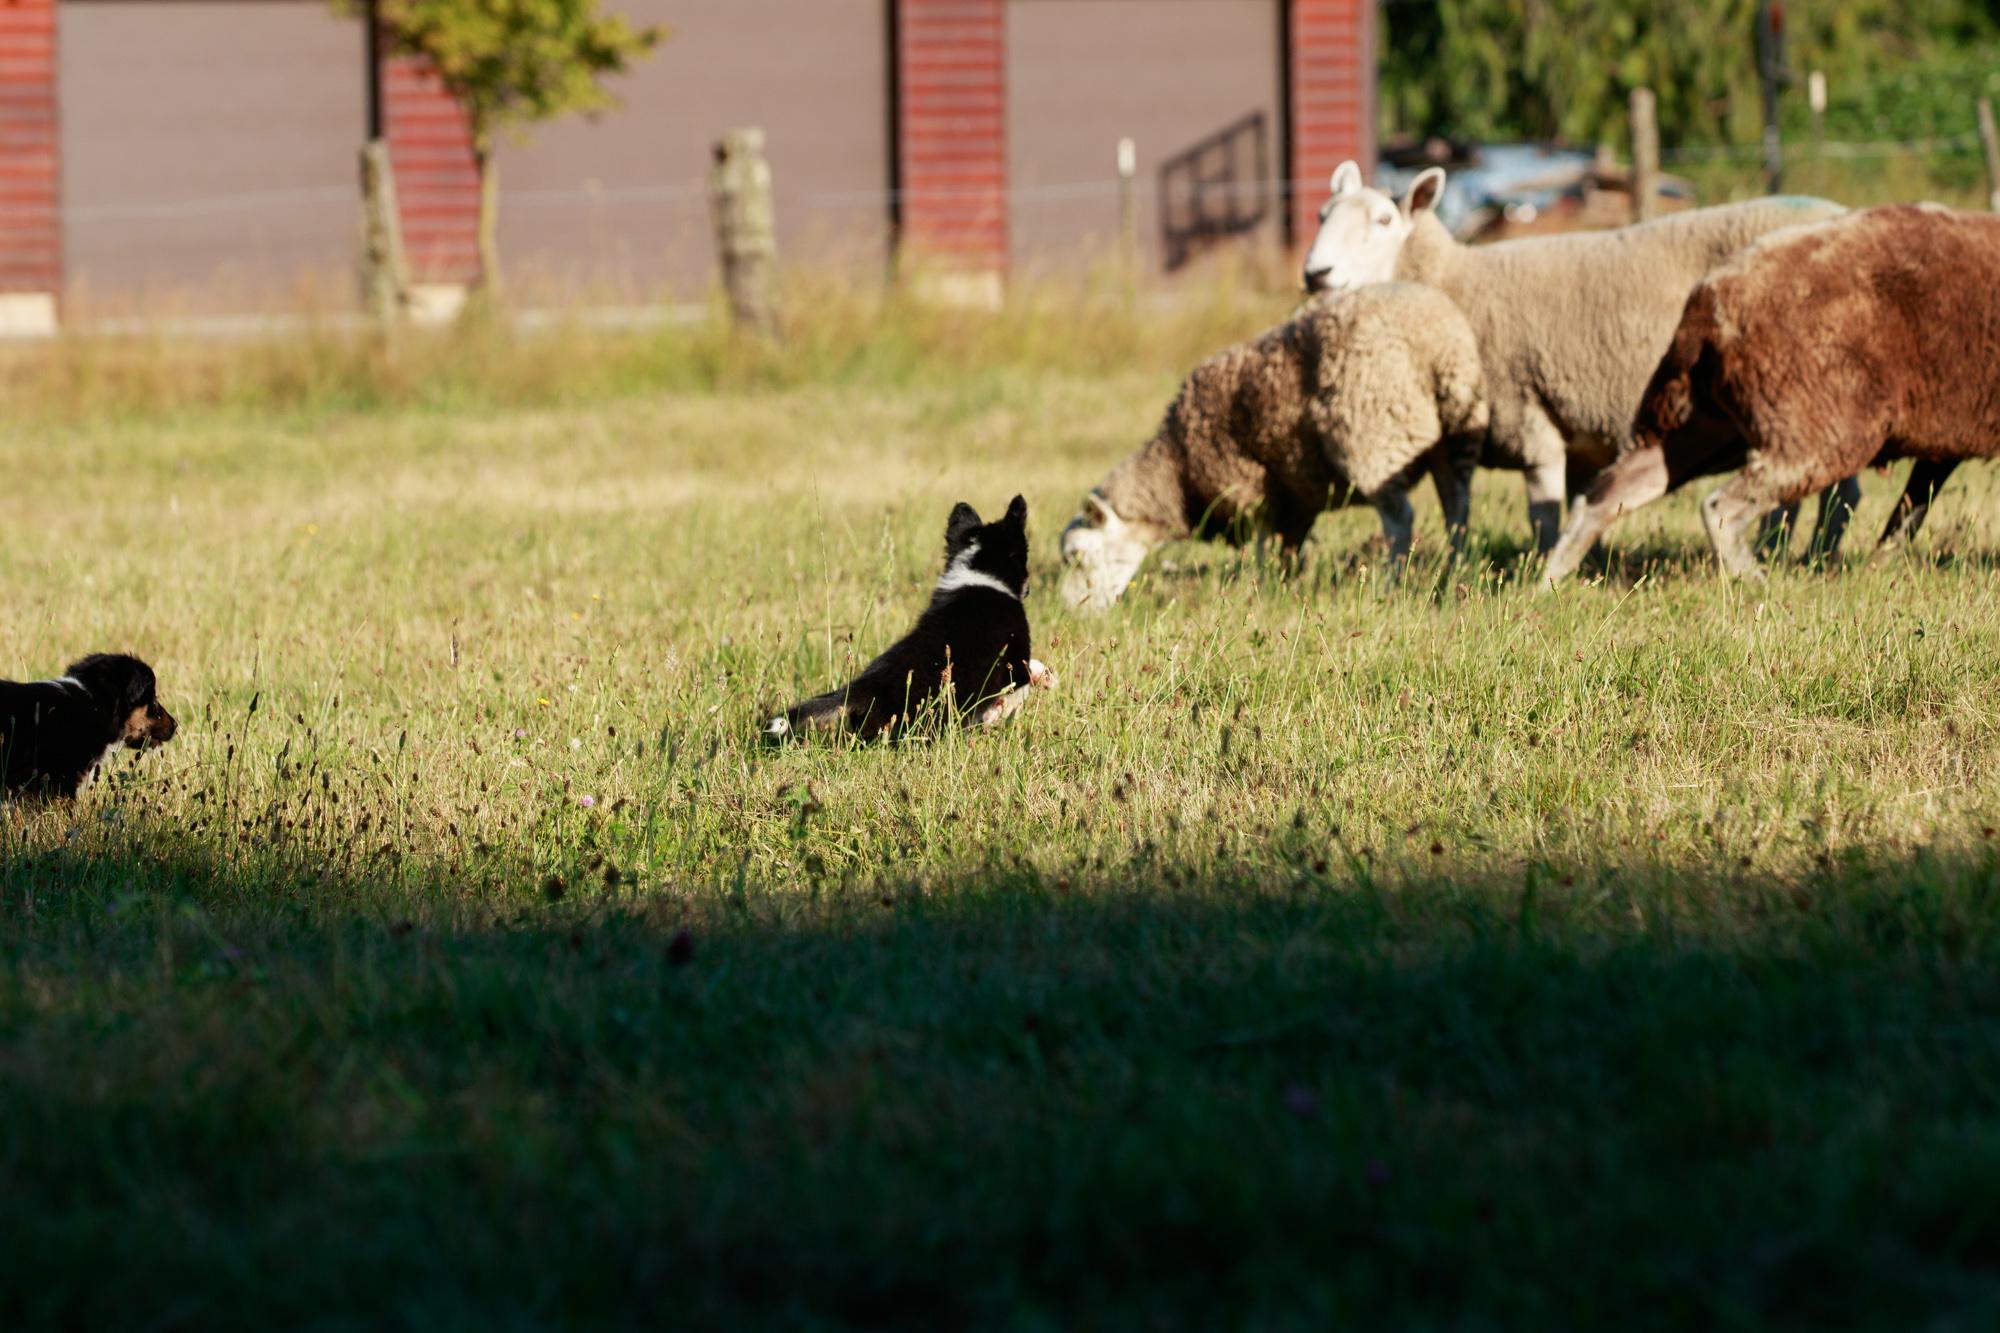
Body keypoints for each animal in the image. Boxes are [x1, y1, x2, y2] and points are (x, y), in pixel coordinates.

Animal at [764, 490, 1056, 736]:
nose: (1028, 589)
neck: (980, 572)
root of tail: (862, 688)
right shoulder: (1014, 660)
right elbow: (1024, 677)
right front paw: (1041, 680)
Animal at [1064, 286, 1488, 612]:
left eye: (1077, 557)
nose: (1073, 613)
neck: (1176, 469)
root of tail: (1438, 343)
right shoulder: (1293, 495)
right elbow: (1289, 544)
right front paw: (1287, 582)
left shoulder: (1252, 486)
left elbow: (1264, 542)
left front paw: (1263, 585)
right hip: (1454, 435)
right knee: (1457, 507)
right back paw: (1457, 568)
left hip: (1372, 438)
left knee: (1400, 518)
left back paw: (1392, 579)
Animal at [1536, 204, 1992, 580]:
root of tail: (1709, 298)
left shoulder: (1944, 445)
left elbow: (1909, 511)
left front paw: (1885, 563)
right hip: (1818, 420)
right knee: (1721, 506)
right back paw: (1753, 579)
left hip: (1700, 423)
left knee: (1606, 494)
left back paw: (1553, 581)